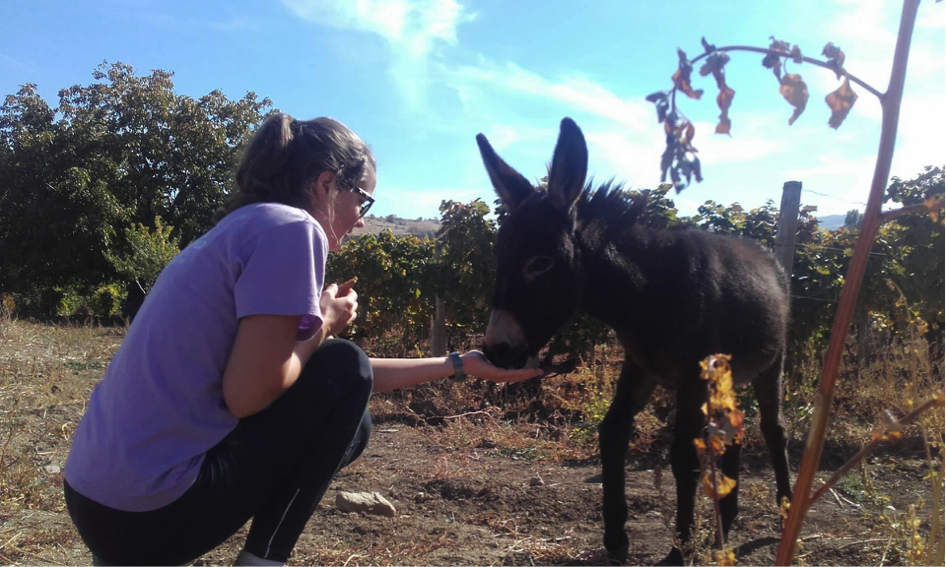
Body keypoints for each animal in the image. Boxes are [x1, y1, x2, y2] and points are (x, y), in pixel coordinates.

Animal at [477, 118, 792, 565]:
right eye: (499, 258)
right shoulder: (639, 366)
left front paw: (679, 551)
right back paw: (726, 523)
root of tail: (768, 257)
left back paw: (784, 510)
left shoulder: (690, 377)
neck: (647, 293)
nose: (496, 350)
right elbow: (612, 432)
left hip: (772, 362)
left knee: (773, 428)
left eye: (540, 264)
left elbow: (683, 458)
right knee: (734, 426)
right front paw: (615, 537)